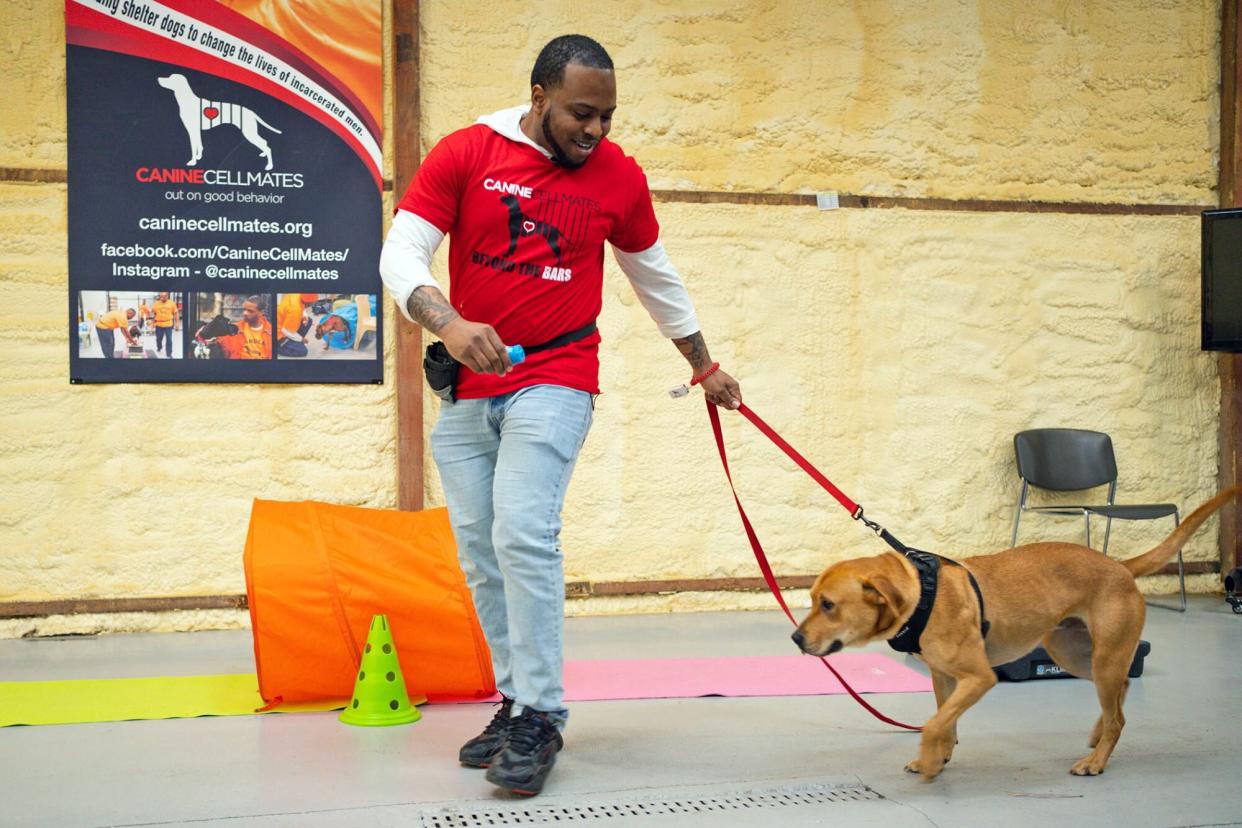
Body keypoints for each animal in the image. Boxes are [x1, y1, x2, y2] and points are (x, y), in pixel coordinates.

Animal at [789, 489, 1237, 779]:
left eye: (828, 605)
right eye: (811, 598)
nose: (795, 640)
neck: (921, 595)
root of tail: (1120, 567)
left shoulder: (979, 678)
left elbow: (934, 723)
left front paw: (931, 762)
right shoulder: (943, 676)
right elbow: (944, 720)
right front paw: (939, 757)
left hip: (1103, 658)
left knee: (1119, 718)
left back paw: (1096, 761)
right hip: (1075, 655)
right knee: (1122, 693)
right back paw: (1096, 736)